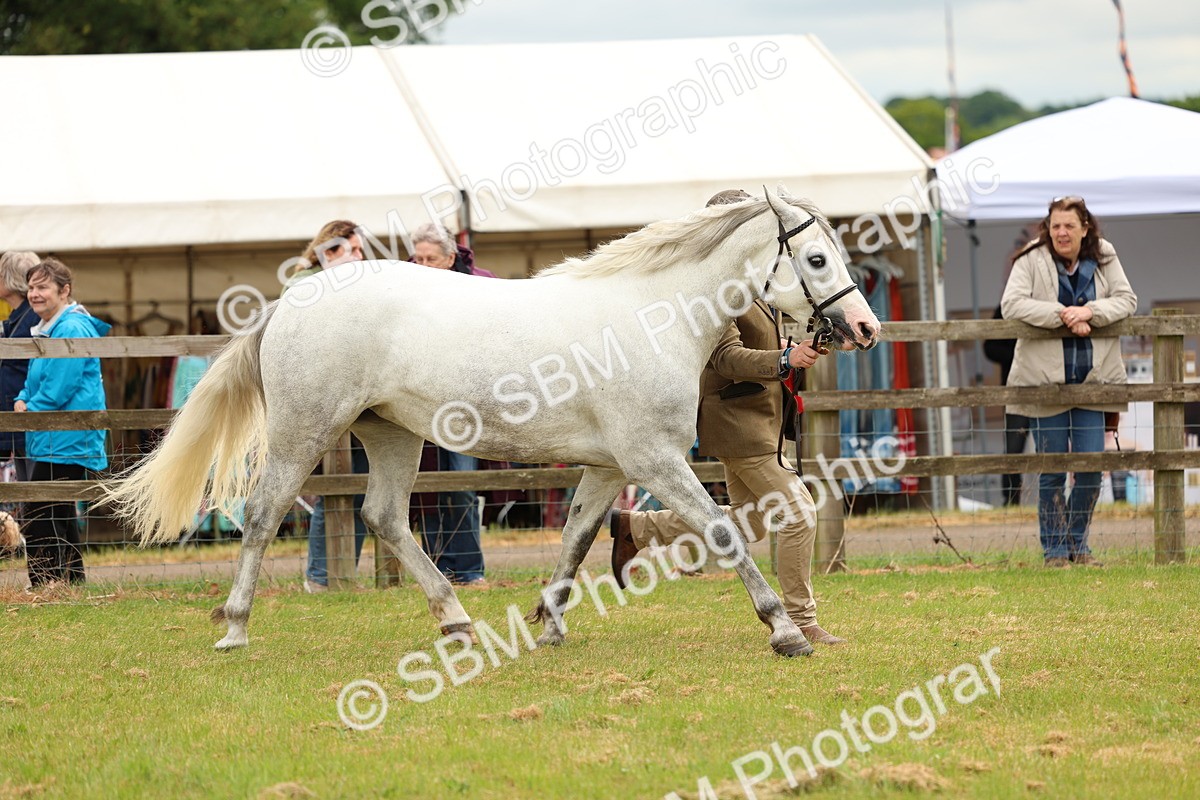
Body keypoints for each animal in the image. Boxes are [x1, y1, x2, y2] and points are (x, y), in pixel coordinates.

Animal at [105, 189, 880, 656]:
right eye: (816, 258)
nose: (866, 328)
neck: (648, 316)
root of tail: (292, 301)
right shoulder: (654, 459)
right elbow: (722, 531)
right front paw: (784, 630)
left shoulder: (611, 465)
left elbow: (576, 537)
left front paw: (550, 623)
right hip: (306, 430)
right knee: (265, 514)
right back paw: (234, 628)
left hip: (391, 432)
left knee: (384, 517)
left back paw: (456, 621)